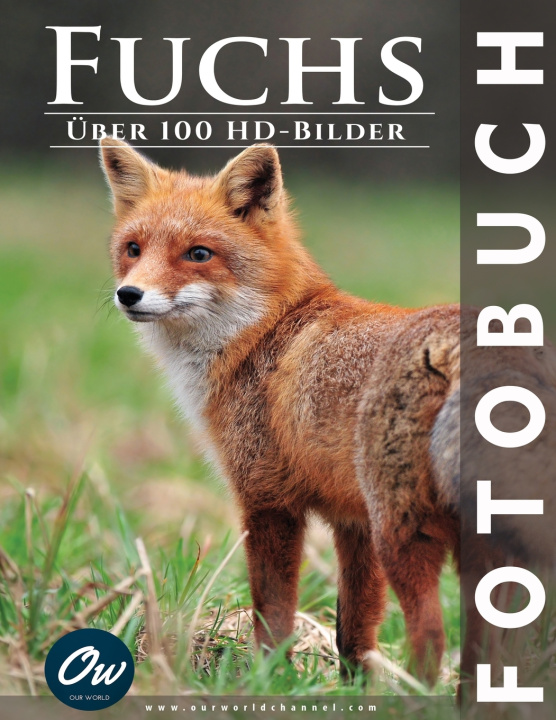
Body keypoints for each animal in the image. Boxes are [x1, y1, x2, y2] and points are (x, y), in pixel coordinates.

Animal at [99, 139, 556, 688]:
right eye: (133, 249)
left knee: (430, 637)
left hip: (405, 533)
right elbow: (353, 631)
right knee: (486, 649)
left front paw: (270, 681)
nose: (129, 294)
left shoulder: (268, 501)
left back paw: (417, 699)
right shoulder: (352, 521)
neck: (265, 332)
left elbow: (273, 614)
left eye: (199, 254)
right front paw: (354, 690)